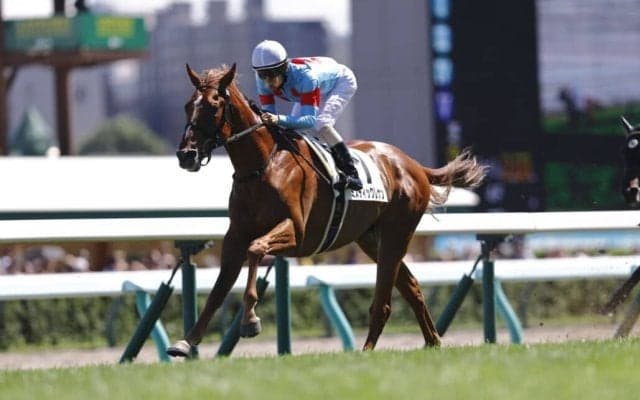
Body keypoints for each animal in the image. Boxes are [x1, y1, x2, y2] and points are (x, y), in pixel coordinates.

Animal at [167, 63, 487, 357]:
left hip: (397, 233)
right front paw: (185, 341)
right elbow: (219, 289)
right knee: (412, 288)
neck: (262, 166)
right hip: (371, 239)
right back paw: (433, 342)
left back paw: (367, 350)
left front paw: (250, 321)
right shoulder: (235, 235)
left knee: (384, 301)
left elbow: (256, 249)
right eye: (187, 105)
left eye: (213, 106)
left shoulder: (296, 232)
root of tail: (412, 164)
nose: (186, 155)